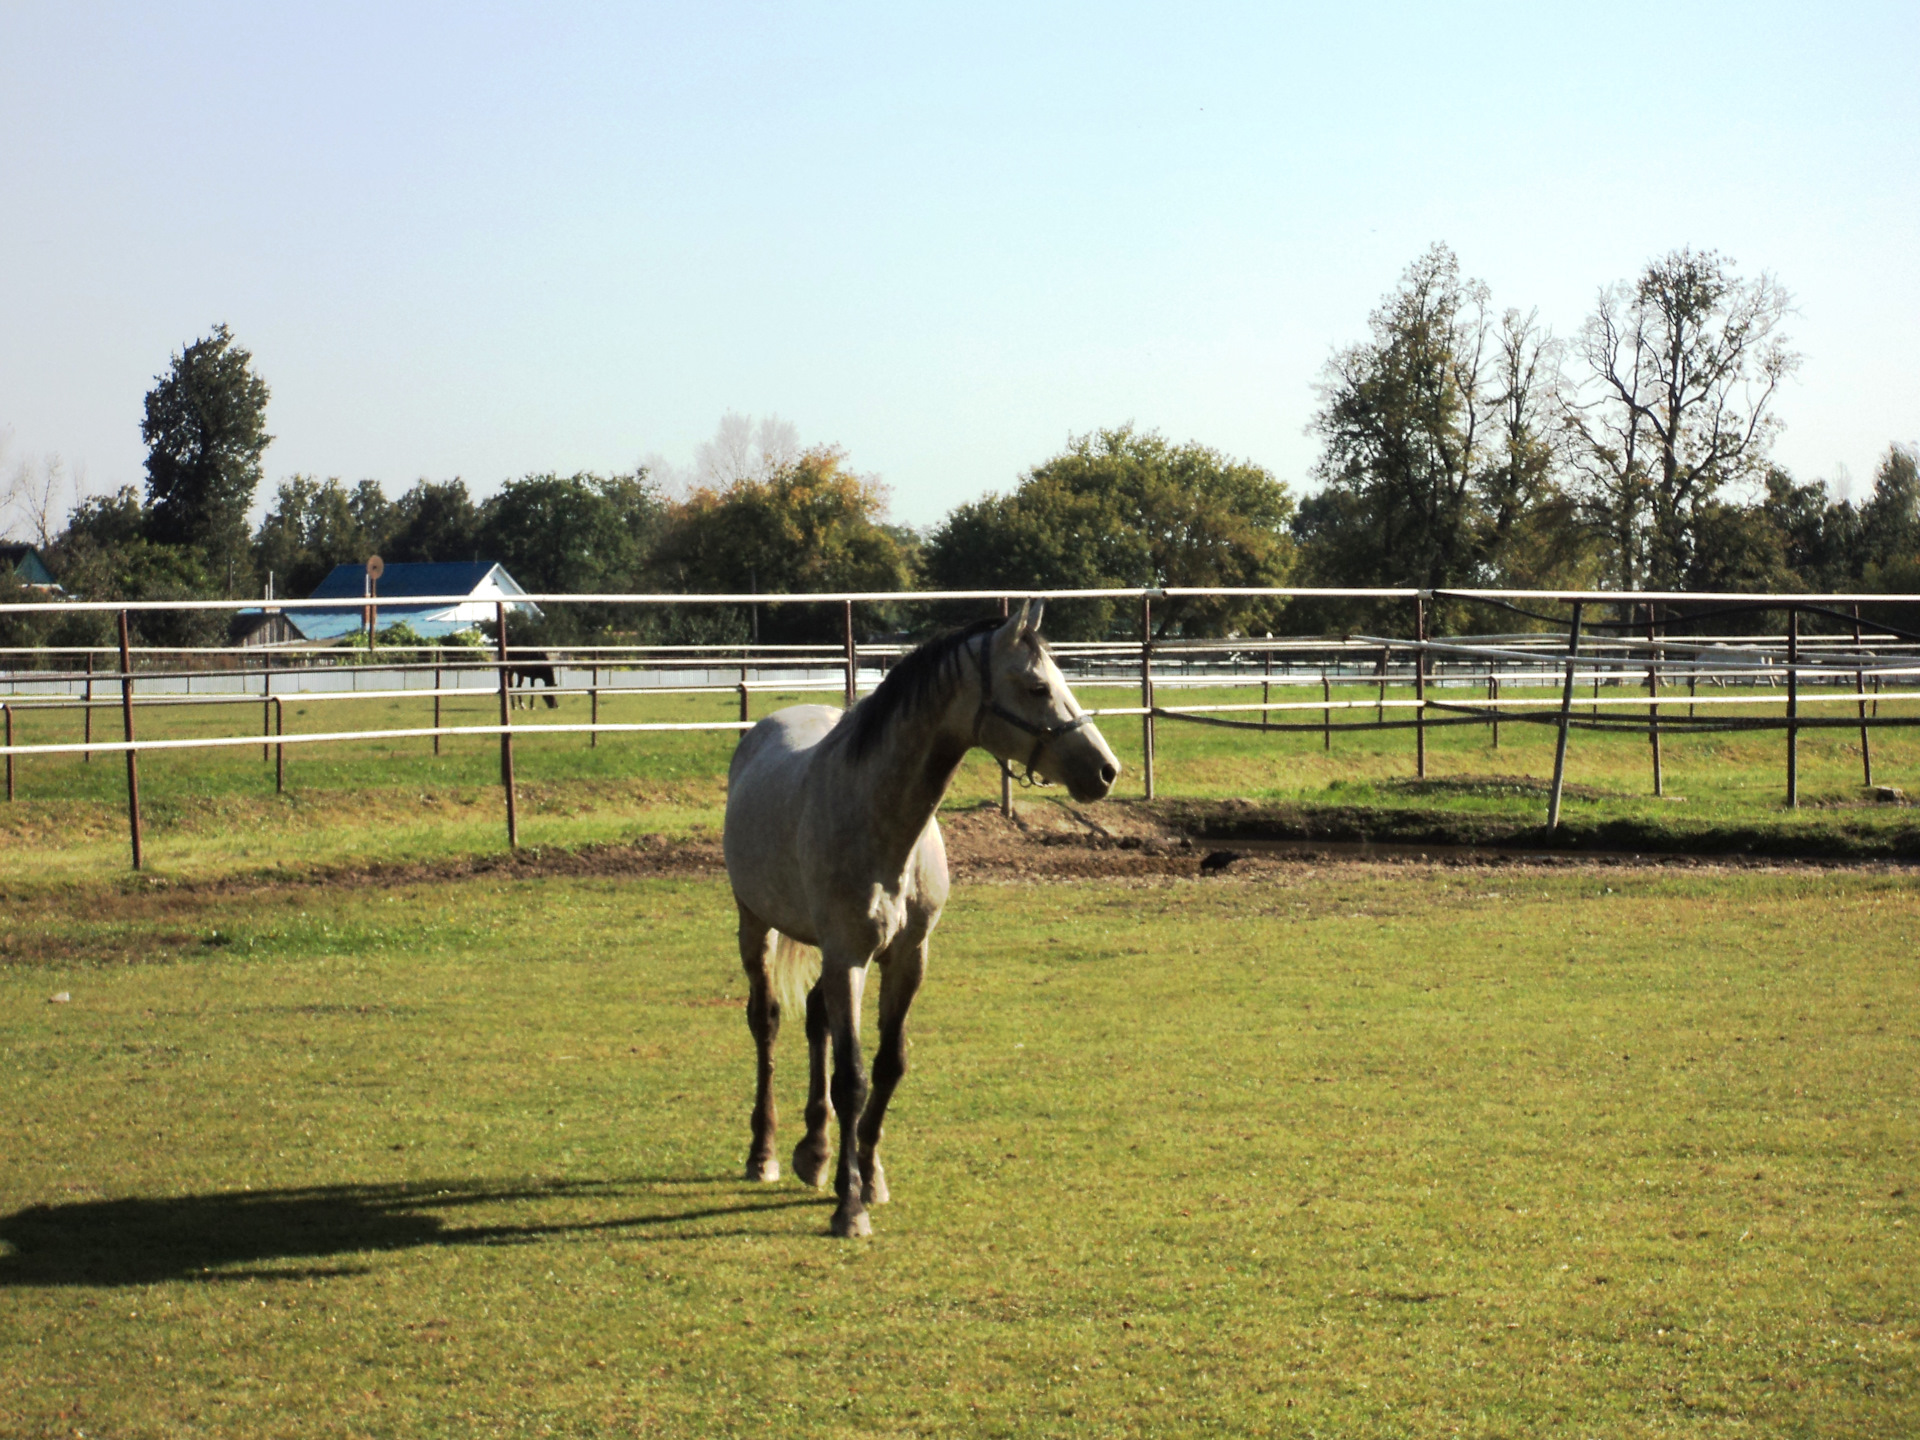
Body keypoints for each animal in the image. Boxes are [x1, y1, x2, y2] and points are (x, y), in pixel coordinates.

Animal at [721, 602, 1121, 1236]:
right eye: (1036, 687)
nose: (1106, 770)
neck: (881, 822)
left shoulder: (907, 958)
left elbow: (889, 1066)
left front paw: (868, 1175)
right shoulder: (850, 956)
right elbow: (853, 1078)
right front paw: (850, 1208)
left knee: (815, 1021)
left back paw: (816, 1153)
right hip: (754, 922)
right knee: (768, 1022)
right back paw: (764, 1155)